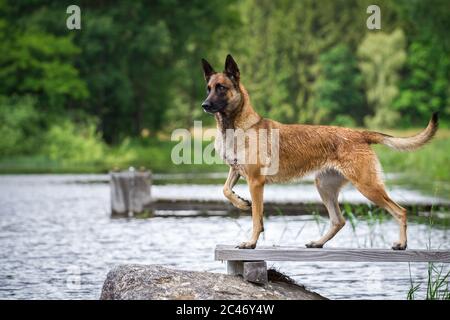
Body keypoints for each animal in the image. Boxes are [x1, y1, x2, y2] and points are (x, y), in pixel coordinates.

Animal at [201, 54, 440, 250]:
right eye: (209, 88)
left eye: (221, 88)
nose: (204, 104)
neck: (235, 126)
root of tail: (360, 134)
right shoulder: (237, 171)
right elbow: (225, 190)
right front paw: (241, 202)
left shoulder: (256, 182)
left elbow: (256, 218)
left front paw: (251, 242)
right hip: (324, 186)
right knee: (339, 220)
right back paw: (318, 242)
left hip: (367, 186)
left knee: (400, 211)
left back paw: (402, 243)